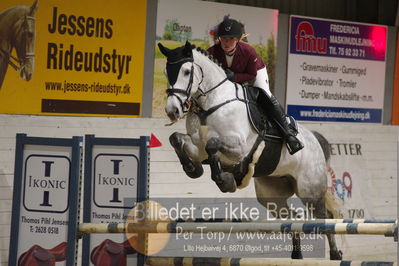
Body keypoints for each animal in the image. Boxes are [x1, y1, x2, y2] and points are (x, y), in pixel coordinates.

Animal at [159, 41, 344, 260]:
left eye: (187, 71)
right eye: (166, 71)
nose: (172, 111)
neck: (212, 102)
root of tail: (315, 140)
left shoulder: (239, 147)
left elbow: (212, 144)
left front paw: (226, 180)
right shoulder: (197, 147)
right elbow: (176, 138)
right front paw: (192, 168)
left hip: (310, 191)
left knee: (326, 217)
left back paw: (336, 255)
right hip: (271, 194)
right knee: (292, 217)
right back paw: (296, 256)